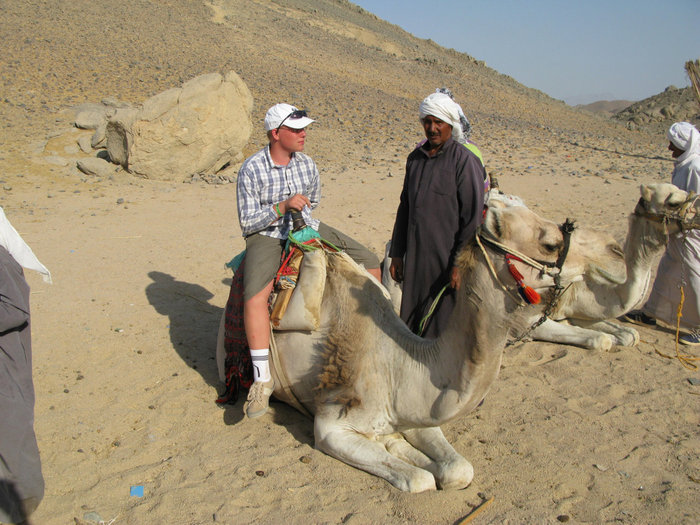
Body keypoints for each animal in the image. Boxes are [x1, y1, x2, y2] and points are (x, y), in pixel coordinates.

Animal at [260, 202, 620, 492]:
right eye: (550, 243)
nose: (616, 249)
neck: (396, 366)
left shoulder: (415, 414)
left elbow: (459, 469)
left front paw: (398, 444)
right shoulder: (331, 426)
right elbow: (420, 480)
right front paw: (399, 451)